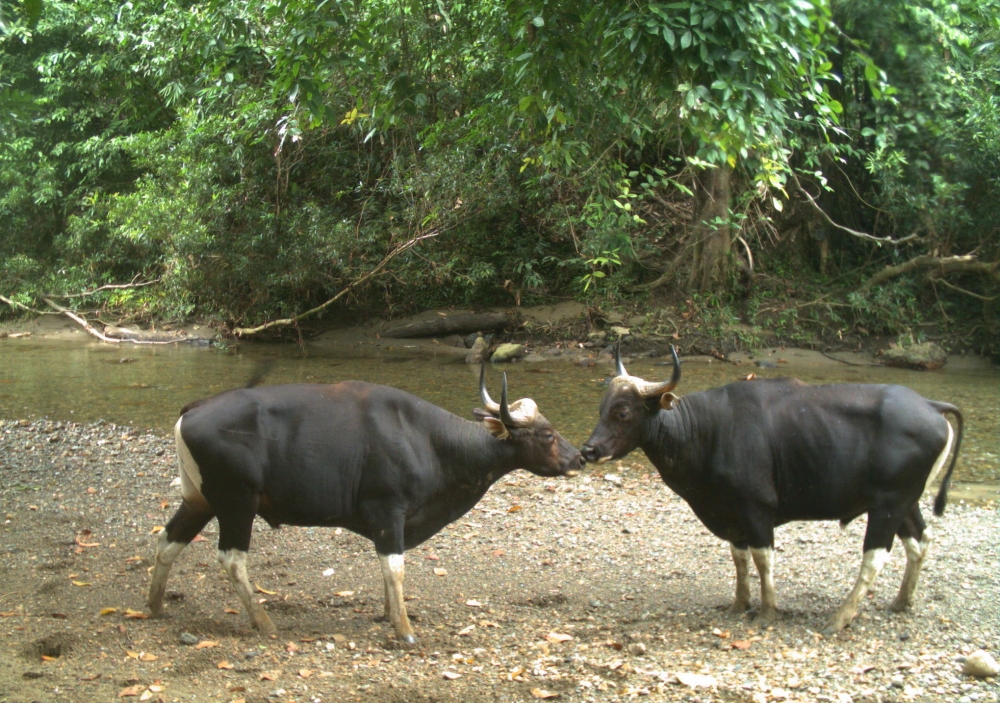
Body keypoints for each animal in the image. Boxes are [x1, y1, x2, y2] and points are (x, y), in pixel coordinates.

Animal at [147, 367, 583, 643]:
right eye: (547, 434)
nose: (579, 458)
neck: (426, 440)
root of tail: (194, 408)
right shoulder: (388, 511)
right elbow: (395, 567)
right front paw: (404, 629)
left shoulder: (390, 521)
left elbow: (387, 570)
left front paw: (390, 614)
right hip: (237, 502)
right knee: (232, 558)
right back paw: (264, 622)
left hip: (200, 500)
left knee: (168, 541)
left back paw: (155, 606)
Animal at [580, 346, 963, 635]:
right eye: (601, 409)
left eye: (623, 412)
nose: (589, 450)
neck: (707, 431)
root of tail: (932, 405)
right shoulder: (730, 512)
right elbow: (739, 558)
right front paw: (739, 603)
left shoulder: (756, 508)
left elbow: (763, 559)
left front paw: (767, 611)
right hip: (905, 502)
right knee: (919, 541)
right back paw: (902, 601)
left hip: (888, 504)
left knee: (874, 557)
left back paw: (839, 618)